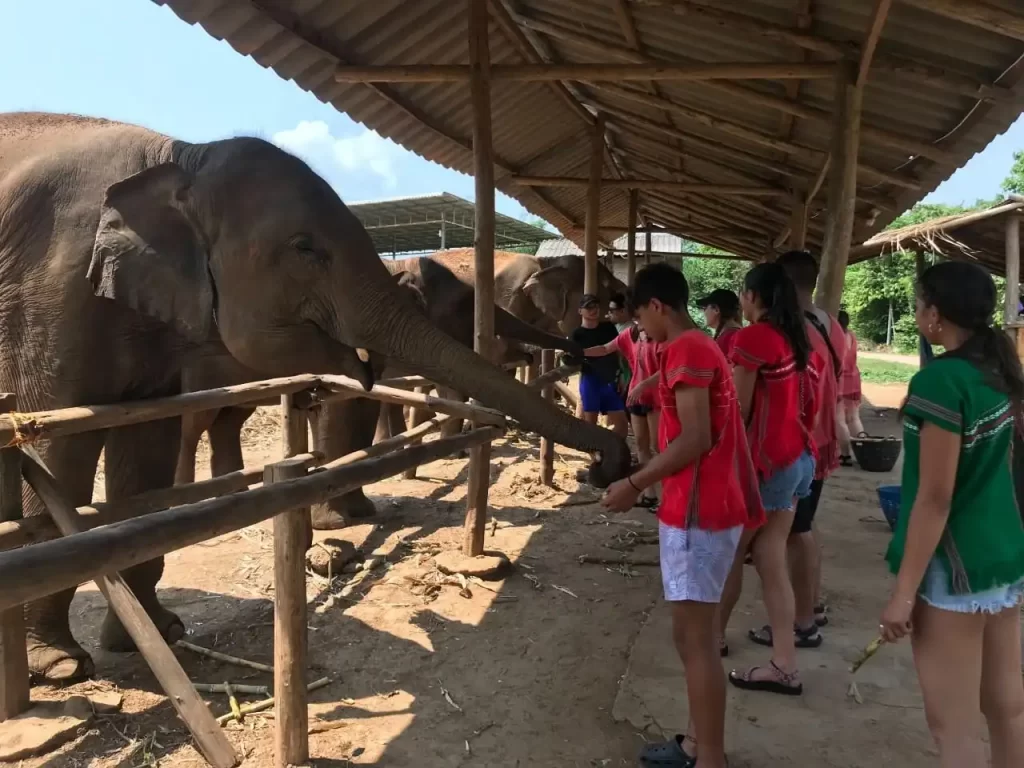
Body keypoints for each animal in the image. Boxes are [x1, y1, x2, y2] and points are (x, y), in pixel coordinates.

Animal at [0, 111, 626, 684]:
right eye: (305, 248)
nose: (611, 464)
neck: (180, 156)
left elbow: (145, 449)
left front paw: (158, 633)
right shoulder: (50, 294)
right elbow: (57, 451)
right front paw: (61, 665)